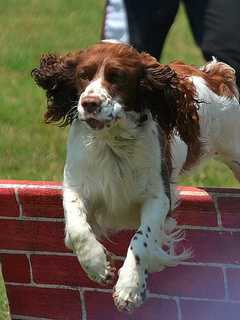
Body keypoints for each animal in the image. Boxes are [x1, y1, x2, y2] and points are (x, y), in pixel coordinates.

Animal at [31, 41, 240, 312]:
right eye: (83, 75)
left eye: (117, 77)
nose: (89, 103)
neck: (112, 142)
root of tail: (215, 73)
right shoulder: (77, 186)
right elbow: (77, 229)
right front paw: (98, 266)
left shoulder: (158, 197)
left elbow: (141, 238)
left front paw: (129, 288)